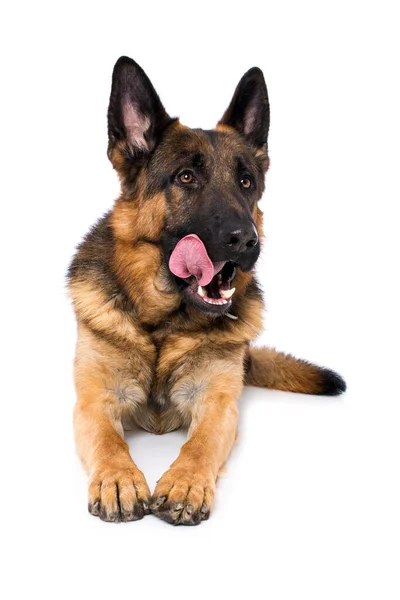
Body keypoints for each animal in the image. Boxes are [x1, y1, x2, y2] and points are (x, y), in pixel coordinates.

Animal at [67, 56, 346, 524]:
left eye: (247, 183)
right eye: (186, 177)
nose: (247, 240)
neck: (163, 323)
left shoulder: (217, 404)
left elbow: (199, 445)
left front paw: (185, 483)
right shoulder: (95, 399)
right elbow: (110, 439)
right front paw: (118, 478)